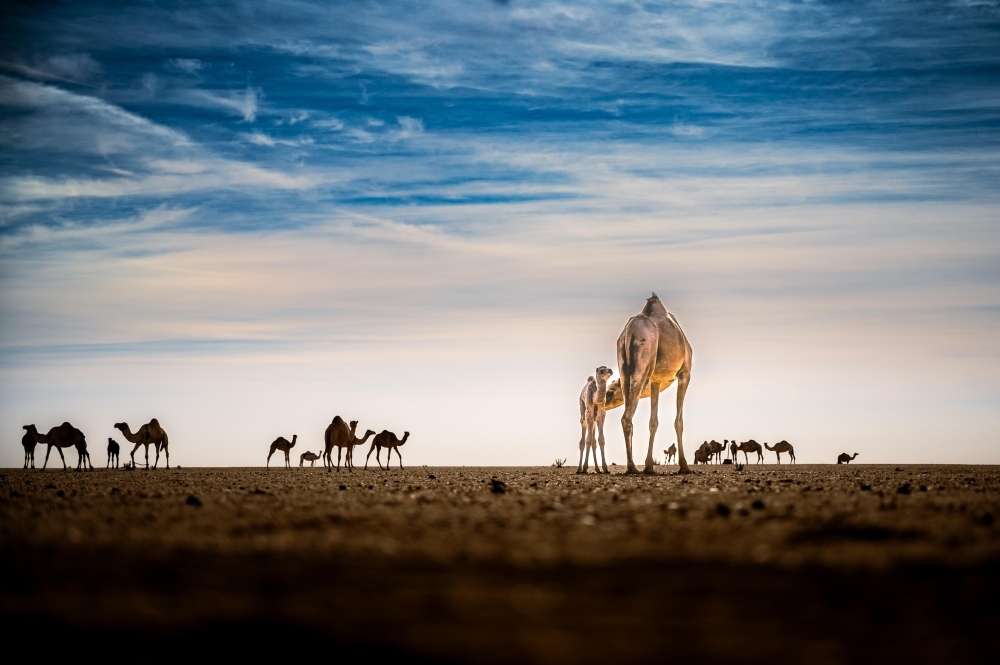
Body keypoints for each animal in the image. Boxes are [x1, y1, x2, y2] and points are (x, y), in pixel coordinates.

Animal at [608, 294, 696, 472]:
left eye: (610, 392)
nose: (603, 402)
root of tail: (629, 333)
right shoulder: (685, 374)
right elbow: (679, 422)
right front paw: (684, 466)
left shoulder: (655, 381)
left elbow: (653, 422)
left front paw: (649, 466)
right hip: (642, 365)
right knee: (626, 417)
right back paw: (632, 468)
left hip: (624, 368)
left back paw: (632, 467)